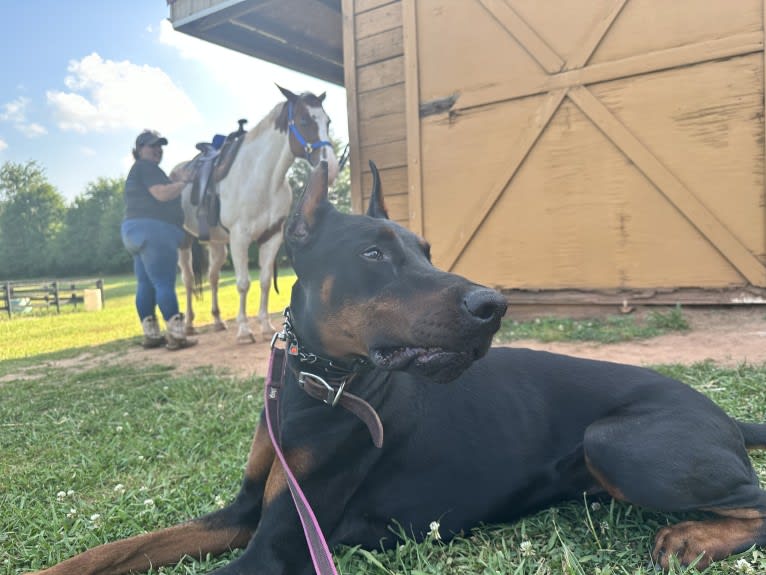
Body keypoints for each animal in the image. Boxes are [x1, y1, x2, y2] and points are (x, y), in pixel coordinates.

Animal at [34, 163, 766, 575]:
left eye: (426, 251)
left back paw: (694, 536)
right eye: (374, 254)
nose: (493, 305)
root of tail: (722, 413)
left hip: (613, 440)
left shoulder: (276, 545)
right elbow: (119, 548)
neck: (317, 385)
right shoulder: (244, 511)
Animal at [178, 86, 340, 344]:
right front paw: (245, 331)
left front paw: (264, 326)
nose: (331, 167)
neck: (262, 178)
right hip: (183, 242)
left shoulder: (271, 237)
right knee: (188, 280)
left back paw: (217, 320)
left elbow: (264, 282)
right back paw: (188, 326)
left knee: (213, 278)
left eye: (327, 120)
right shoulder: (240, 238)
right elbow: (243, 284)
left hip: (216, 244)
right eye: (304, 120)